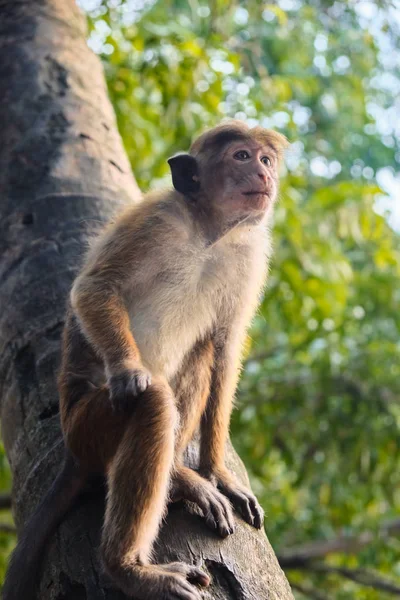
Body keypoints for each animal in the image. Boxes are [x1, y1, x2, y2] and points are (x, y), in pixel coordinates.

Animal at [3, 118, 288, 600]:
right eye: (242, 157)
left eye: (265, 158)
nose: (264, 173)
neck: (208, 230)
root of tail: (73, 450)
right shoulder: (155, 219)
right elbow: (94, 288)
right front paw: (128, 371)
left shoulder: (248, 257)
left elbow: (225, 347)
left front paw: (217, 471)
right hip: (89, 426)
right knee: (152, 403)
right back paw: (129, 568)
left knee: (200, 355)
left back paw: (177, 475)